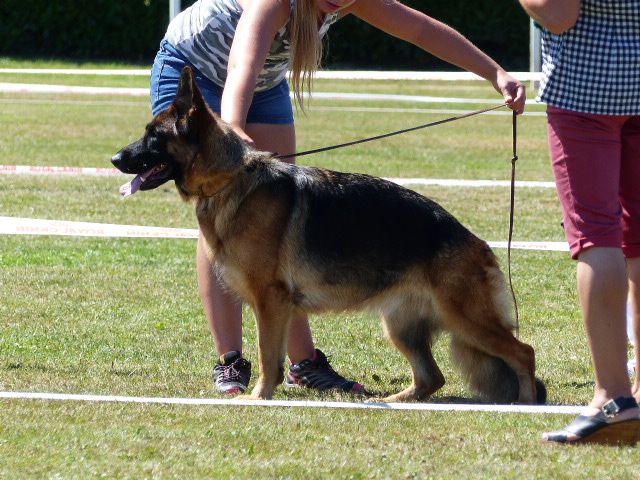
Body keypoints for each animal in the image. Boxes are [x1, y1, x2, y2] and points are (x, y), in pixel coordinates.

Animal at [111, 67, 544, 404]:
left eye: (154, 136)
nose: (114, 159)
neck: (230, 178)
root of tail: (478, 243)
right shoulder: (277, 304)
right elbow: (273, 355)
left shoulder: (271, 300)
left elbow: (269, 356)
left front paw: (260, 397)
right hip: (402, 327)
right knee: (432, 377)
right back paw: (394, 400)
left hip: (465, 318)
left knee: (523, 352)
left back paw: (525, 402)